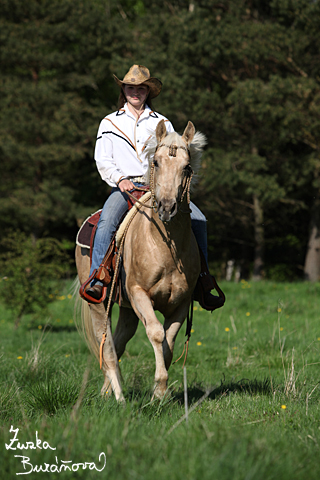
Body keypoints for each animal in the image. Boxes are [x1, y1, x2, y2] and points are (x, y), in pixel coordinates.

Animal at [75, 121, 205, 402]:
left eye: (186, 167)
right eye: (155, 161)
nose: (167, 207)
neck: (166, 246)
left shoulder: (181, 303)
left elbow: (169, 342)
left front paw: (159, 393)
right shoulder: (139, 294)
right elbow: (156, 333)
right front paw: (159, 387)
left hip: (126, 310)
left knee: (119, 340)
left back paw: (106, 392)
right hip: (99, 304)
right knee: (107, 345)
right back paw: (119, 397)